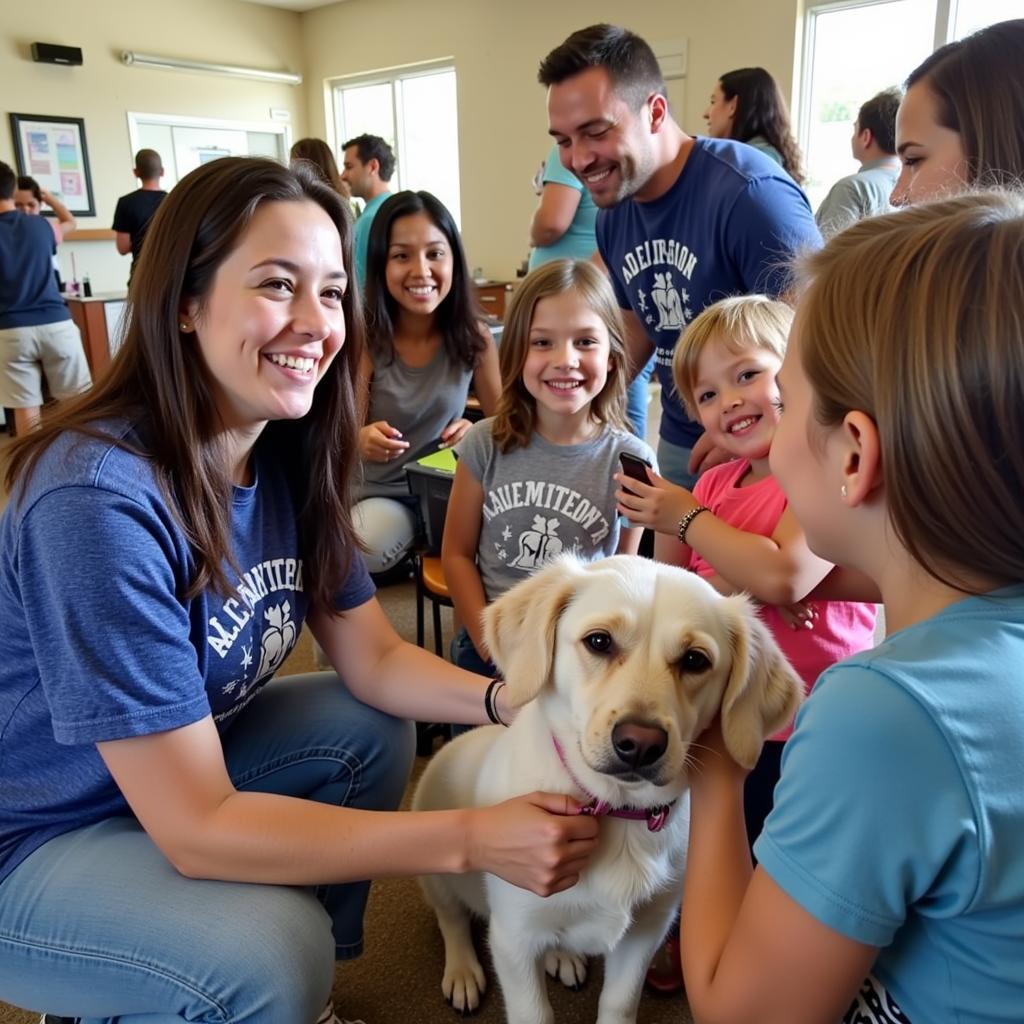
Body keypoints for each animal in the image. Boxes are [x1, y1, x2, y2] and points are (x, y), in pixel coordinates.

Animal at [409, 557, 798, 1019]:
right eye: (599, 641)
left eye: (695, 660)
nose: (640, 744)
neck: (619, 812)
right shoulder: (514, 939)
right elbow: (533, 1012)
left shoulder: (648, 930)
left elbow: (619, 1002)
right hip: (437, 871)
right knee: (450, 919)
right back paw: (463, 972)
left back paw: (564, 957)